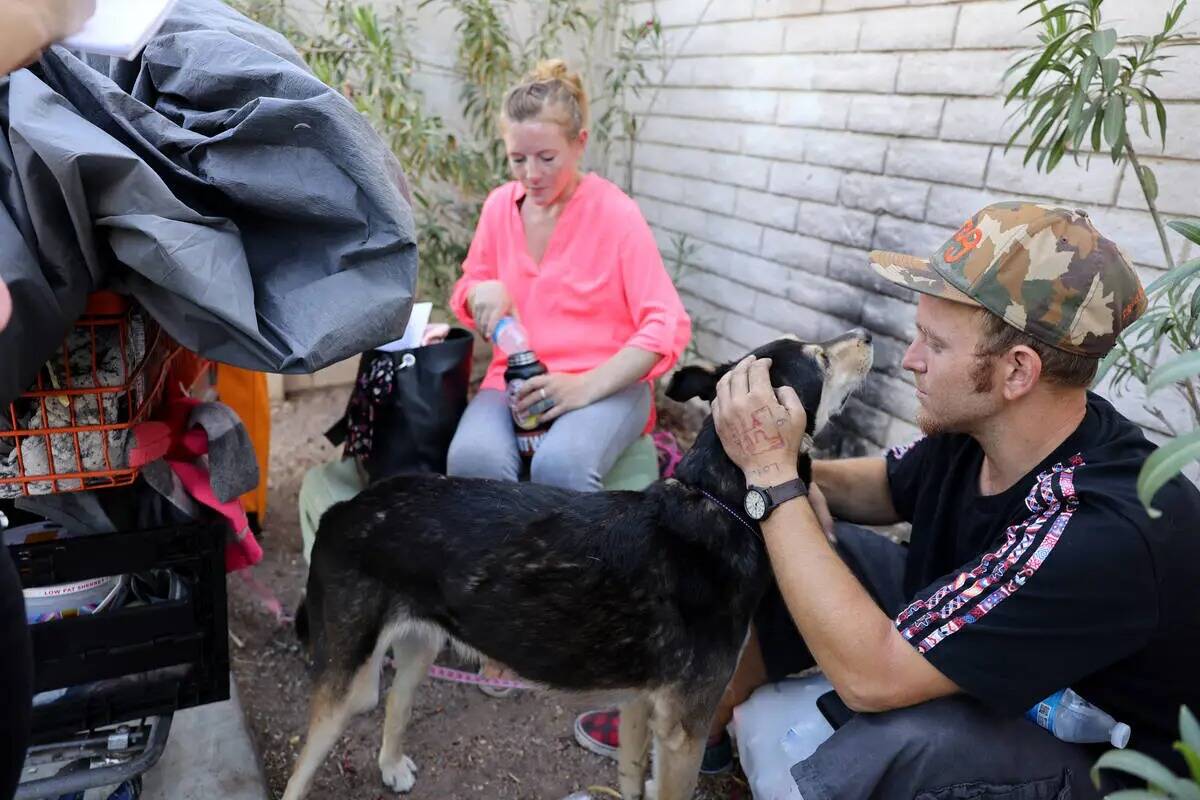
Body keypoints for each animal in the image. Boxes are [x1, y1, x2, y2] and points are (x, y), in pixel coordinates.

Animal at [285, 331, 878, 800]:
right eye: (821, 358)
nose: (869, 336)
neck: (720, 500)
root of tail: (345, 509)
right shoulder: (684, 729)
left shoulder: (640, 705)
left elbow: (632, 780)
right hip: (345, 678)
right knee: (302, 769)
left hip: (419, 645)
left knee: (396, 704)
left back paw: (389, 766)